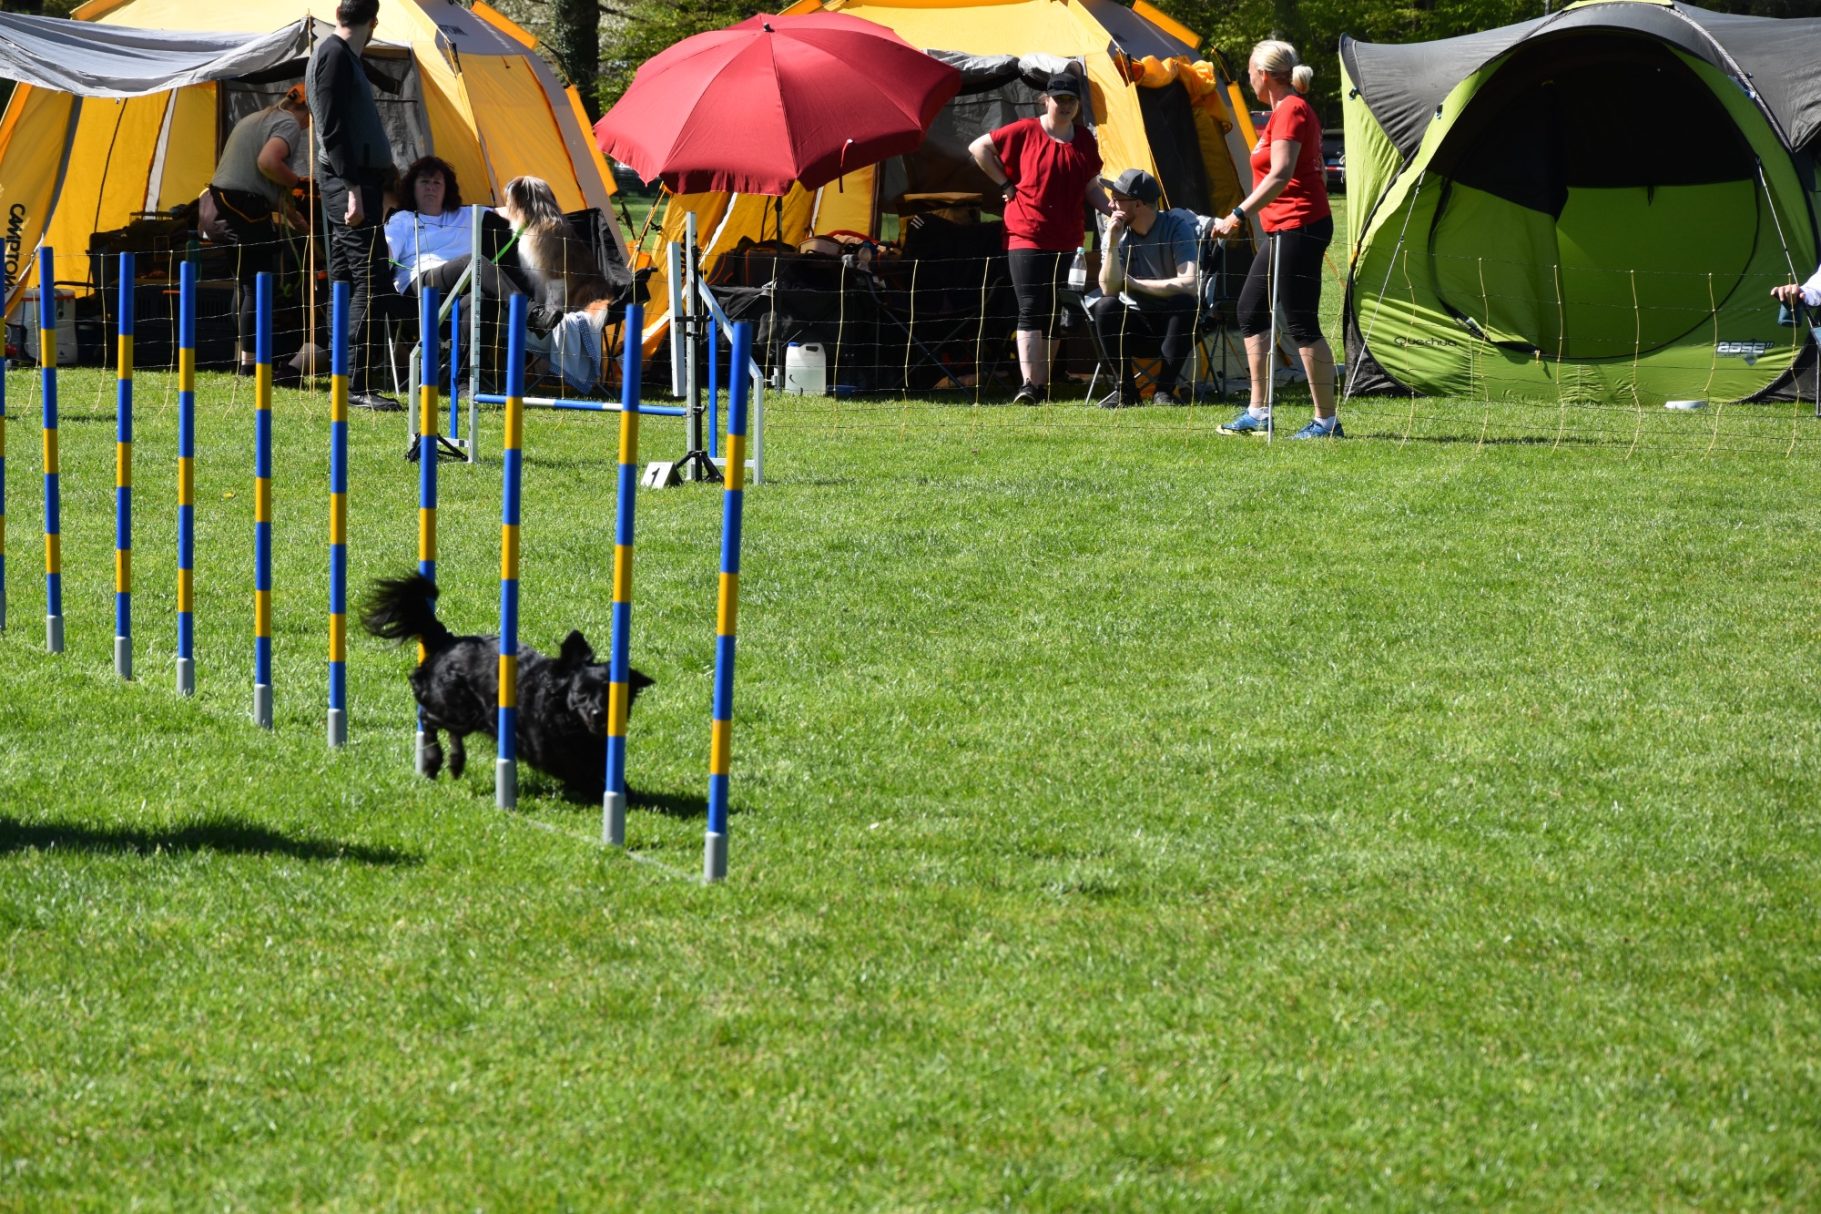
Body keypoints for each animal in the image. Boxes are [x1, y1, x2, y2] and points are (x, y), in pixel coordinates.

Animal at [361, 573, 653, 800]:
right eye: (580, 694)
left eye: (609, 694)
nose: (598, 714)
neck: (561, 713)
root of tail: (447, 641)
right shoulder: (554, 756)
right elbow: (585, 776)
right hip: (458, 710)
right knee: (429, 719)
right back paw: (434, 761)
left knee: (446, 729)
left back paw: (455, 763)